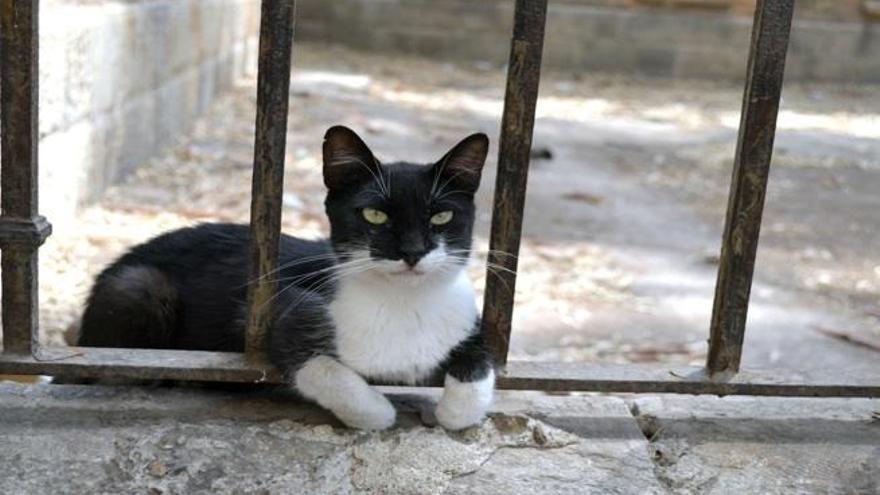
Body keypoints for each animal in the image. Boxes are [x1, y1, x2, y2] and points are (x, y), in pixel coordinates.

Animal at [77, 126, 496, 432]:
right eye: (375, 215)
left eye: (441, 216)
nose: (412, 251)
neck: (402, 302)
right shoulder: (267, 310)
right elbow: (318, 365)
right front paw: (379, 412)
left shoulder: (468, 318)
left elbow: (481, 364)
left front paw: (451, 412)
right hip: (138, 287)